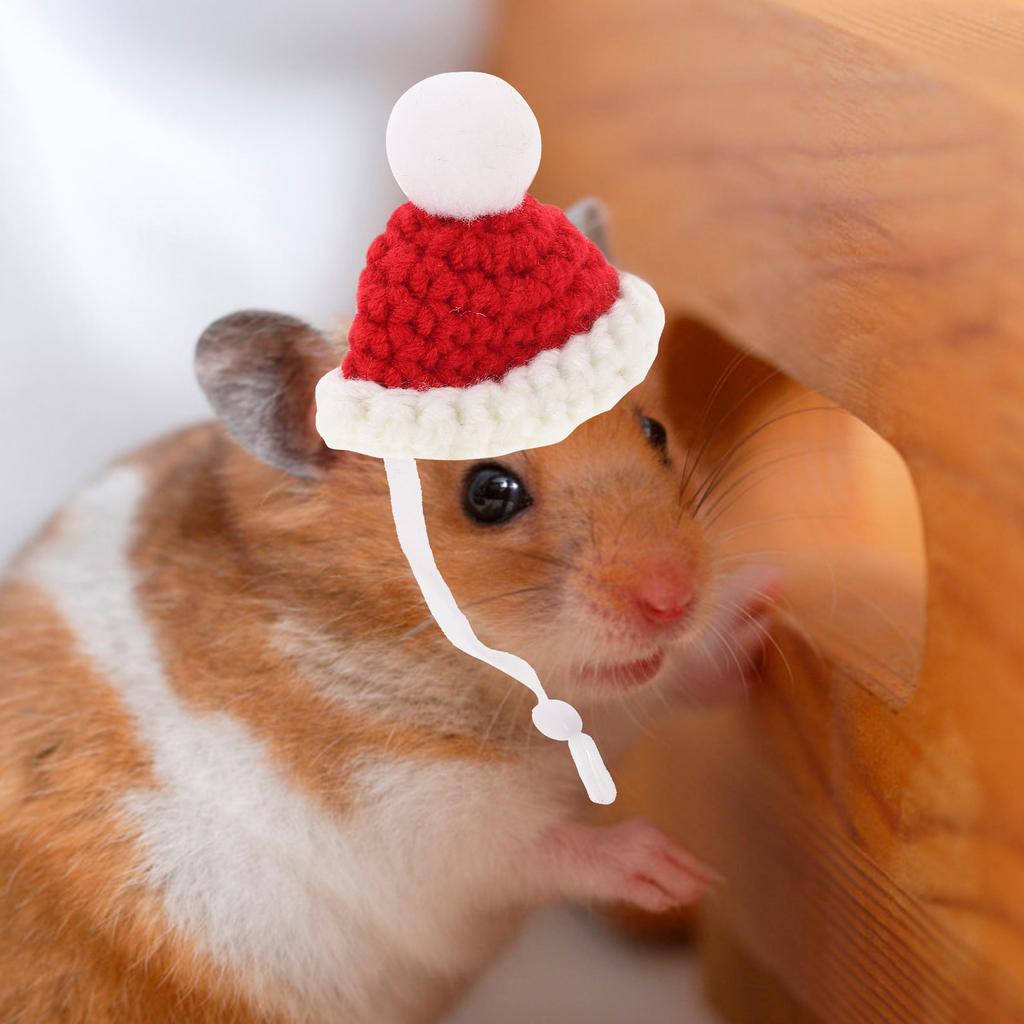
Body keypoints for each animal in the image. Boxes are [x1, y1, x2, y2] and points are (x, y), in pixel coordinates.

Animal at [0, 312, 777, 1024]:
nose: (676, 599)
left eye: (655, 431)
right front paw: (680, 872)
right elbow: (534, 847)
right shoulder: (412, 815)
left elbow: (658, 686)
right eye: (488, 492)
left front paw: (760, 621)